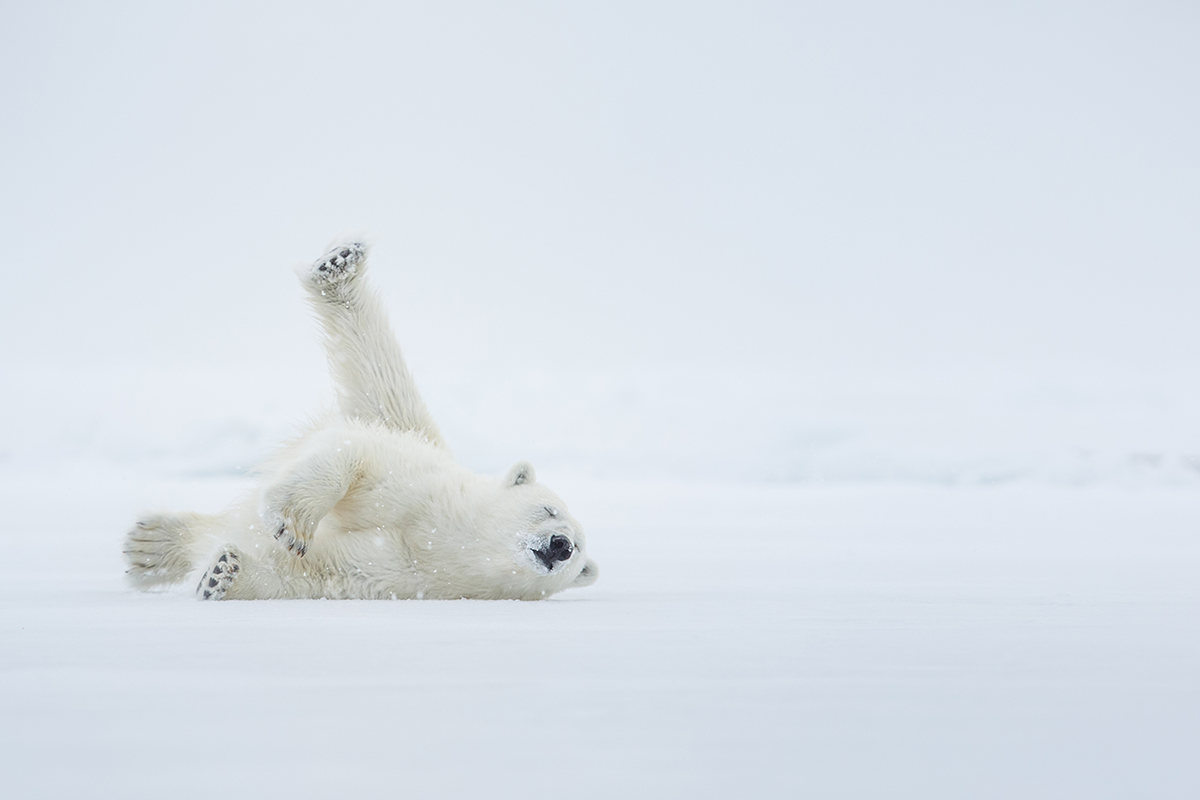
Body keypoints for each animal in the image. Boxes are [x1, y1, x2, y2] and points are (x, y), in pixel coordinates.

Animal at [123, 240, 598, 600]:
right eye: (548, 508)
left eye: (578, 553)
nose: (561, 545)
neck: (447, 538)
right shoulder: (418, 486)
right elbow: (357, 458)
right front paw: (291, 520)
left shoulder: (407, 575)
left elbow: (317, 573)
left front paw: (224, 572)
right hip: (403, 424)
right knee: (379, 373)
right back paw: (338, 267)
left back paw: (148, 547)